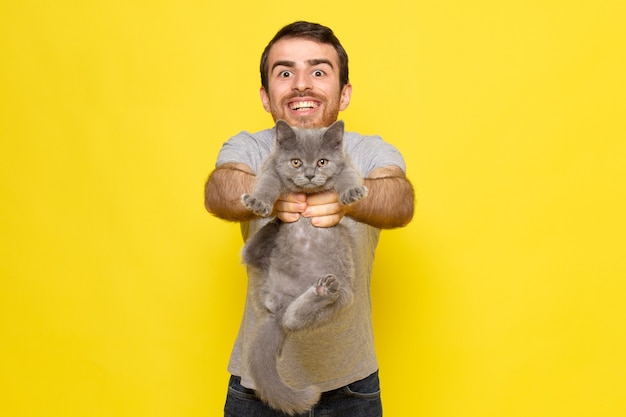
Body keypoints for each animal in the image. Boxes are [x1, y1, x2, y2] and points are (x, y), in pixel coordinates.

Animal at [239, 118, 366, 414]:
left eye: (322, 162)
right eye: (296, 162)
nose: (309, 174)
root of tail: (280, 304)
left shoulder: (344, 165)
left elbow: (347, 176)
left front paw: (352, 192)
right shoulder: (271, 168)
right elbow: (267, 183)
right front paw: (259, 202)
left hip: (345, 293)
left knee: (294, 319)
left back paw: (322, 291)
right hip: (261, 273)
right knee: (249, 254)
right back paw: (274, 223)